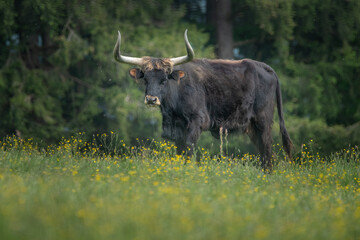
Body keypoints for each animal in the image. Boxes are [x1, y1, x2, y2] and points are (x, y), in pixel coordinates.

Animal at [113, 29, 292, 170]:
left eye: (164, 79)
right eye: (146, 79)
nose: (151, 99)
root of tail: (265, 67)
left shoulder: (196, 121)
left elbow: (189, 148)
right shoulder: (177, 127)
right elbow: (180, 150)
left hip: (263, 120)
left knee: (267, 147)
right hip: (252, 126)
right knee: (263, 149)